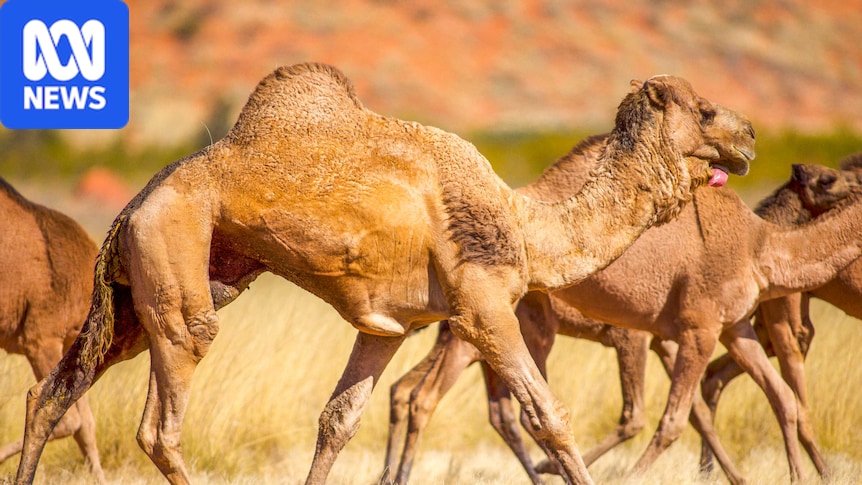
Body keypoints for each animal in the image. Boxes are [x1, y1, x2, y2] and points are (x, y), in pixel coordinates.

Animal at [14, 63, 752, 485]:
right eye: (704, 111)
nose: (747, 138)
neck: (526, 226)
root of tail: (138, 199)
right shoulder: (483, 306)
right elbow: (549, 416)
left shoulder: (389, 325)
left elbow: (337, 420)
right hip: (176, 259)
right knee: (159, 425)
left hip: (146, 291)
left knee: (52, 394)